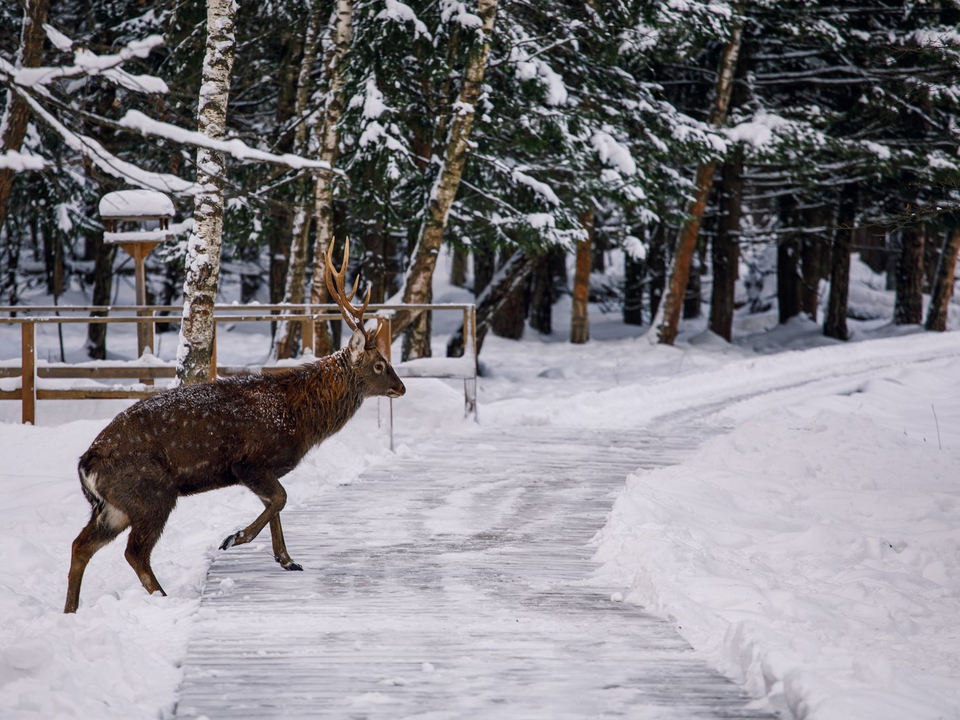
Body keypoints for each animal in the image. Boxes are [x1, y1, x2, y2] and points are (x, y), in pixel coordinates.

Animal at [62, 240, 404, 612]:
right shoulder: (249, 462)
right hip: (151, 494)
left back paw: (70, 611)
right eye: (380, 365)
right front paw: (234, 538)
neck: (298, 417)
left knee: (81, 545)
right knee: (134, 552)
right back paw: (164, 599)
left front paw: (287, 559)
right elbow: (280, 499)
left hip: (113, 507)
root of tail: (85, 464)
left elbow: (276, 504)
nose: (401, 387)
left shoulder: (265, 469)